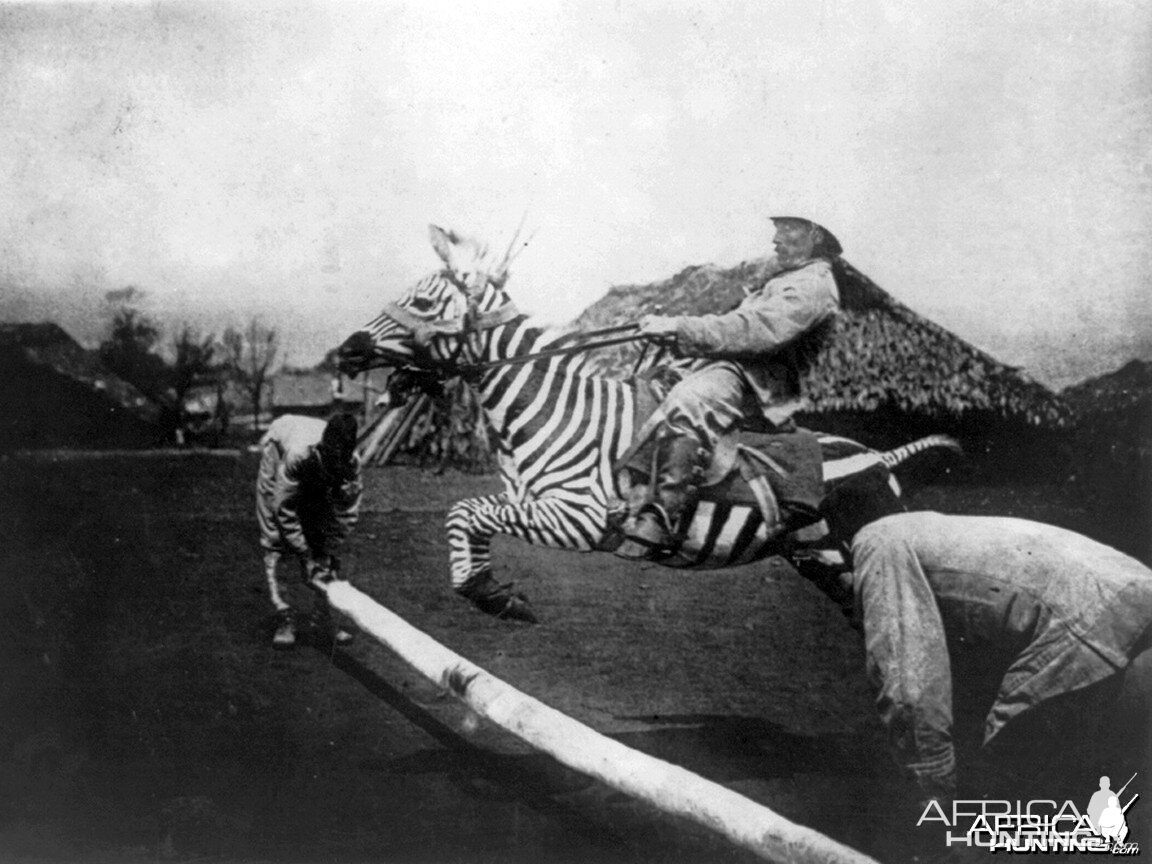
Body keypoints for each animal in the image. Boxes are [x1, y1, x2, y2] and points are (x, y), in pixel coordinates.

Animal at [336, 228, 958, 622]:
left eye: (421, 301)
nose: (348, 349)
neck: (556, 410)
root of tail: (880, 457)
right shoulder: (525, 504)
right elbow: (465, 515)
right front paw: (489, 592)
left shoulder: (578, 519)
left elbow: (465, 511)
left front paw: (489, 593)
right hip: (825, 563)